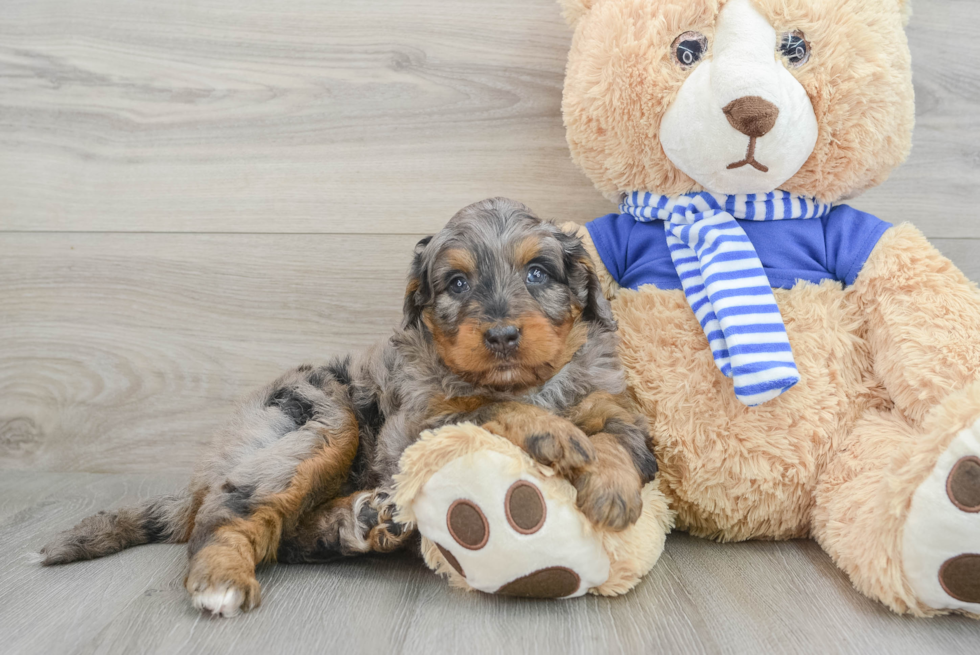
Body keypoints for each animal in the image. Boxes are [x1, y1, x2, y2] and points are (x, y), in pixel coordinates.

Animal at [44, 197, 660, 616]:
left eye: (537, 273)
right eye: (457, 283)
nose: (504, 335)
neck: (525, 382)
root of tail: (207, 468)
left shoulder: (612, 399)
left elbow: (618, 436)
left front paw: (611, 490)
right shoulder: (418, 426)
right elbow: (483, 407)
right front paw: (552, 433)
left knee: (286, 536)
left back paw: (361, 522)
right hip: (317, 422)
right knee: (229, 512)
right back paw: (222, 580)